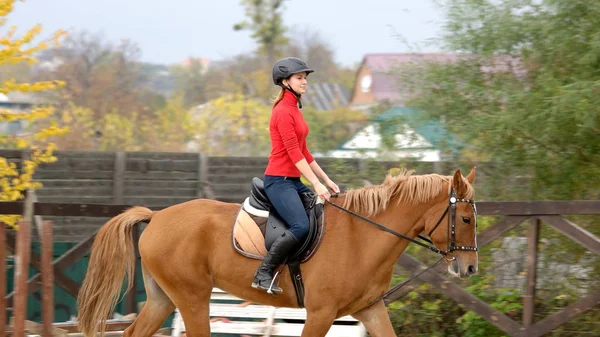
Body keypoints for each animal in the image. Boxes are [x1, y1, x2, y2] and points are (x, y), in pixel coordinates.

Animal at [76, 167, 478, 334]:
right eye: (467, 218)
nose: (470, 268)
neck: (361, 235)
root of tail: (157, 216)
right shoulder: (320, 313)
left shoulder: (369, 309)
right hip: (192, 298)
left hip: (163, 299)